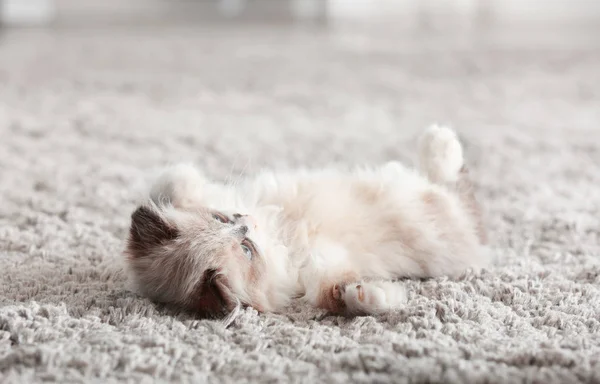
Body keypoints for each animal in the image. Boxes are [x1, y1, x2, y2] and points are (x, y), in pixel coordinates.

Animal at [123, 125, 488, 318]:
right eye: (247, 249)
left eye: (221, 217)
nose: (245, 222)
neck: (278, 237)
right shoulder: (318, 270)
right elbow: (341, 296)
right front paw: (375, 297)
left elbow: (171, 182)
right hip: (447, 218)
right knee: (455, 188)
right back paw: (441, 143)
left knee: (449, 178)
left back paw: (437, 138)